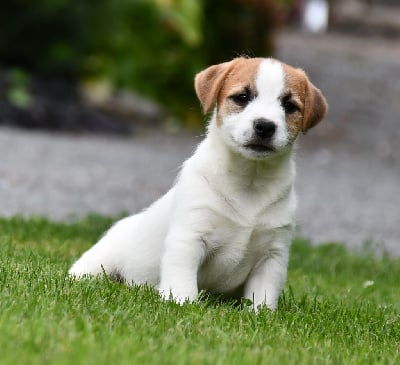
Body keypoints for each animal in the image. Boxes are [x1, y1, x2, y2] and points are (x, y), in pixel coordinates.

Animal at [70, 57, 328, 310]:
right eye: (242, 97)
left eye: (289, 106)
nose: (265, 125)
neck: (250, 181)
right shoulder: (189, 237)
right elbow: (182, 278)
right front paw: (182, 302)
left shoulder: (273, 255)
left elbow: (264, 295)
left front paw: (260, 314)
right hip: (99, 261)